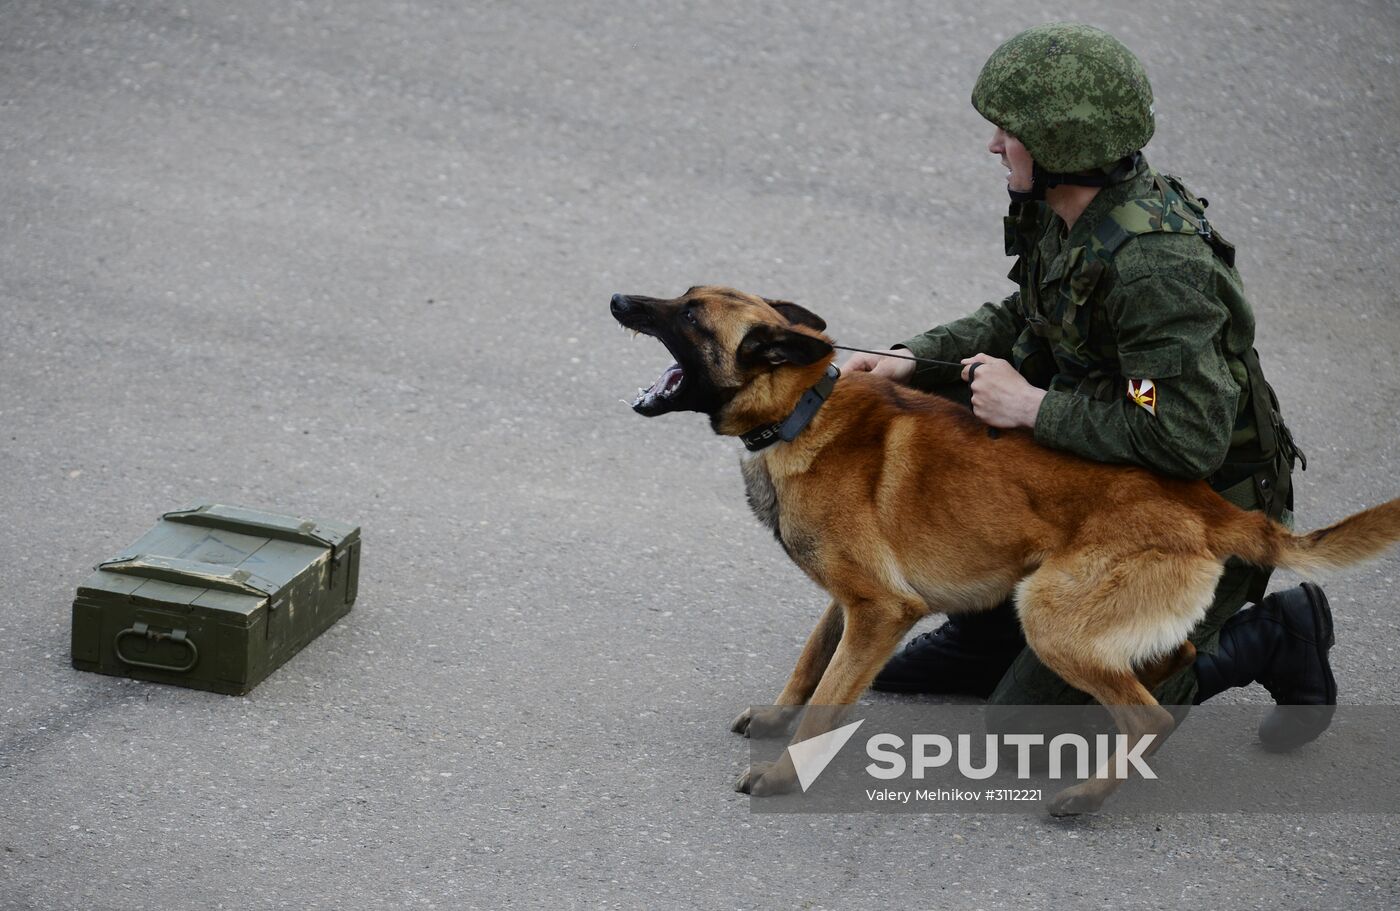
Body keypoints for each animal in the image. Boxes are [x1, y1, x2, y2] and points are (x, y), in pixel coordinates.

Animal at [613, 285, 1400, 811]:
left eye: (689, 314)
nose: (620, 297)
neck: (801, 411)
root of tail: (1204, 501)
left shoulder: (880, 610)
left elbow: (828, 698)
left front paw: (782, 774)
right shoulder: (853, 605)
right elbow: (811, 661)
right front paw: (777, 716)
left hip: (1049, 618)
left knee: (1147, 709)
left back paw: (1087, 795)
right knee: (1177, 662)